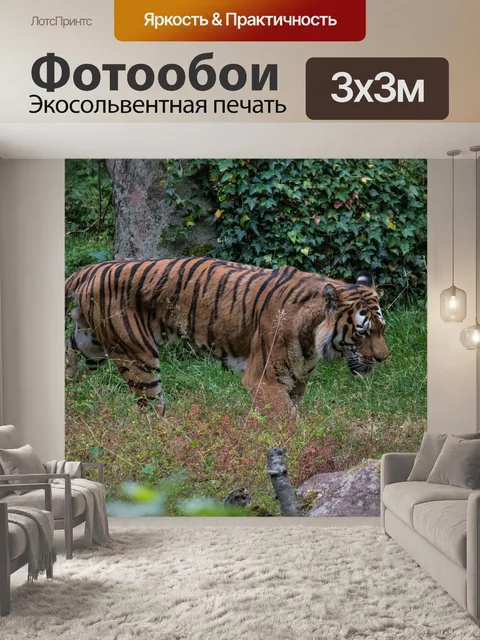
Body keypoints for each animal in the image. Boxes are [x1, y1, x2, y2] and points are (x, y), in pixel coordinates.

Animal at [65, 257, 389, 416]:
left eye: (382, 329)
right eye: (362, 331)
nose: (384, 358)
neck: (314, 339)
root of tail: (88, 270)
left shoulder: (296, 384)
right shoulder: (265, 380)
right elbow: (290, 424)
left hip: (89, 346)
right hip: (137, 358)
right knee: (152, 414)